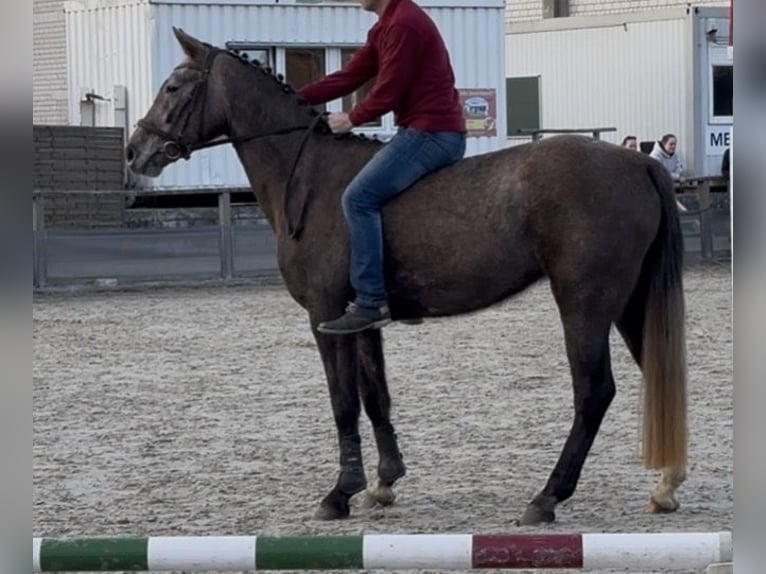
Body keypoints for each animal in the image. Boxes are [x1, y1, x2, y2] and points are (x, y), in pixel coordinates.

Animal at [125, 27, 689, 526]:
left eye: (172, 87)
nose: (135, 151)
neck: (311, 176)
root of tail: (637, 164)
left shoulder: (324, 315)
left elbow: (342, 401)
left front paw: (340, 493)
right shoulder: (359, 319)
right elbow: (375, 396)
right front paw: (383, 481)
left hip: (584, 302)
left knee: (593, 392)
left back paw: (548, 497)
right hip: (629, 302)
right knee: (656, 374)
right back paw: (666, 485)